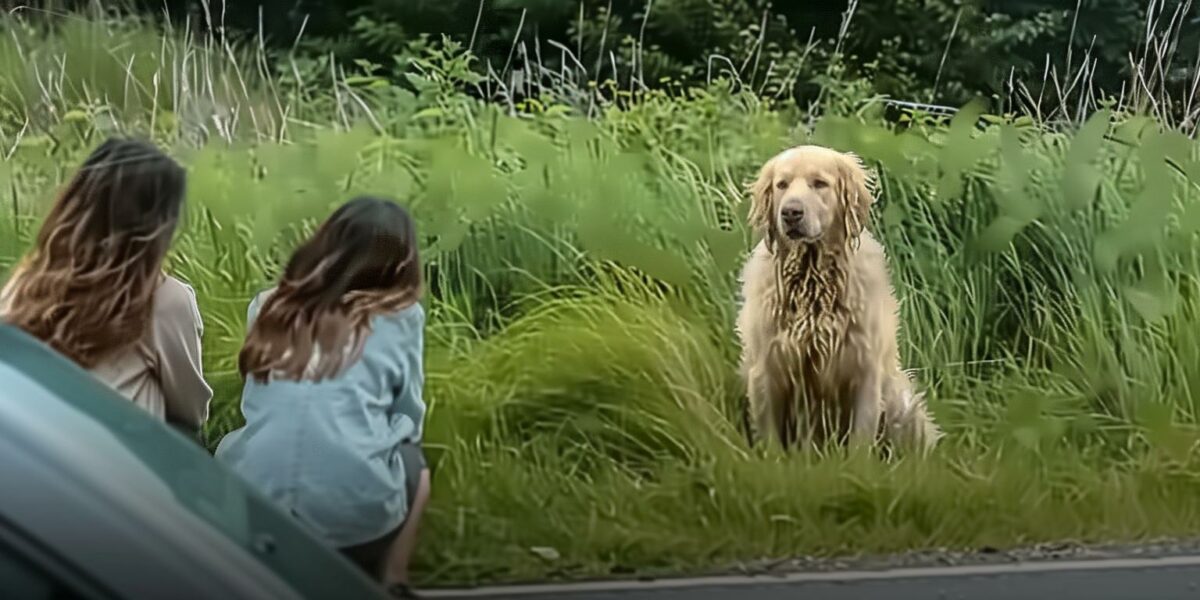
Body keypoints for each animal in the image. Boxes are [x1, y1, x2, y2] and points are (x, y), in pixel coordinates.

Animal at [734, 146, 940, 453]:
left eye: (819, 183)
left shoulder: (865, 369)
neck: (812, 280)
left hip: (900, 401)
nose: (791, 213)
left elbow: (860, 441)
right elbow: (770, 439)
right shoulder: (766, 367)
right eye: (782, 184)